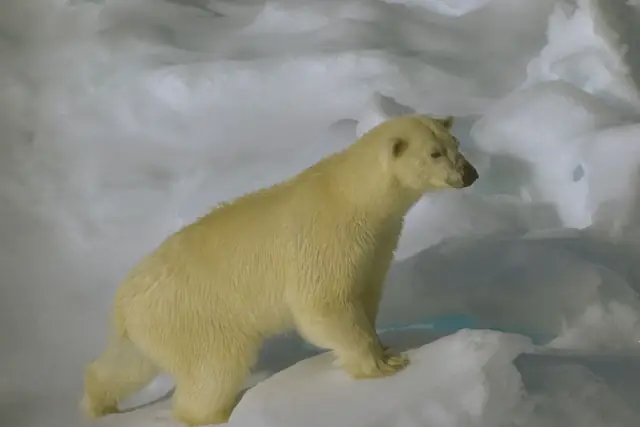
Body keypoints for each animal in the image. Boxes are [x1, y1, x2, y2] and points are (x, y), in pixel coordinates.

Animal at [81, 114, 479, 426]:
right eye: (434, 152)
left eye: (455, 142)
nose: (470, 174)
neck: (353, 197)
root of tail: (123, 300)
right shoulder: (326, 244)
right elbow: (324, 307)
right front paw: (385, 365)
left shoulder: (375, 247)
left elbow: (365, 296)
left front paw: (385, 345)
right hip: (198, 315)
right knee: (215, 369)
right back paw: (215, 414)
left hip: (154, 324)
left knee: (129, 362)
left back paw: (99, 403)